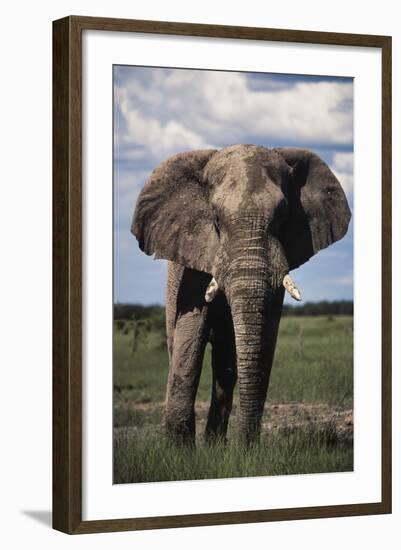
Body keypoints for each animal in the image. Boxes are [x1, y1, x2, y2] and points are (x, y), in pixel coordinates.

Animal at [132, 144, 350, 446]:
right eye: (215, 218)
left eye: (282, 217)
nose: (245, 445)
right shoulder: (193, 258)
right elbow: (190, 337)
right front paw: (179, 450)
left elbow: (266, 339)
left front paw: (243, 450)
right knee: (177, 345)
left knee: (226, 361)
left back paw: (214, 445)